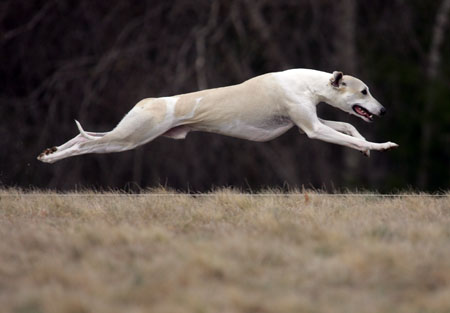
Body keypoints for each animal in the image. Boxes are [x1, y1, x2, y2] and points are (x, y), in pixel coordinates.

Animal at [37, 69, 398, 163]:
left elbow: (348, 126)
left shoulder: (307, 124)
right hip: (129, 138)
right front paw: (379, 146)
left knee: (85, 136)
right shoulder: (312, 128)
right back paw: (51, 158)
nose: (383, 109)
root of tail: (147, 102)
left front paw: (367, 146)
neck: (309, 83)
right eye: (364, 91)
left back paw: (49, 151)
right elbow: (347, 135)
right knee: (86, 143)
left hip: (128, 133)